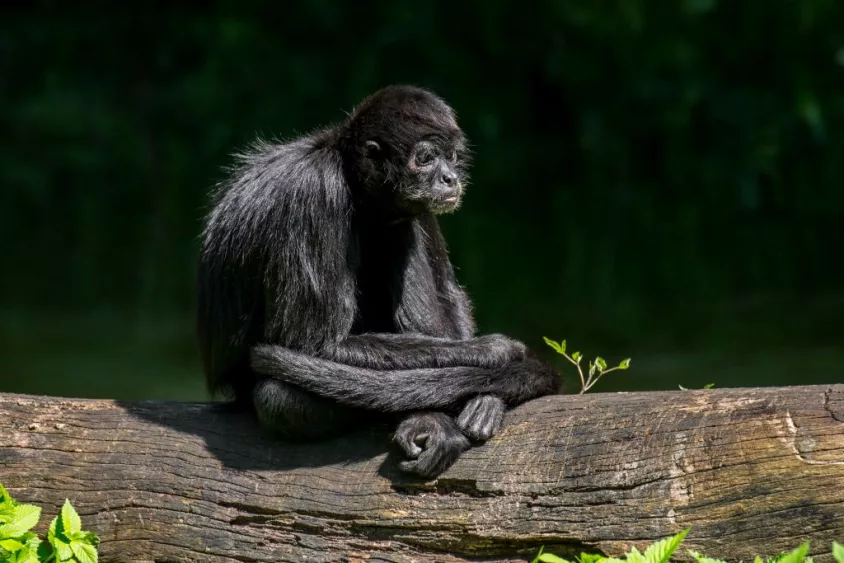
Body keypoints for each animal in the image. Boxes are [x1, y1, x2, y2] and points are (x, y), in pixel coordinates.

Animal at [199, 86, 560, 478]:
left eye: (451, 158)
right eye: (426, 158)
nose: (450, 178)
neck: (348, 179)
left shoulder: (417, 205)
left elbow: (449, 293)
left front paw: (489, 395)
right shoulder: (314, 194)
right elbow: (315, 345)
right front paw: (491, 349)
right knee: (278, 398)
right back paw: (429, 419)